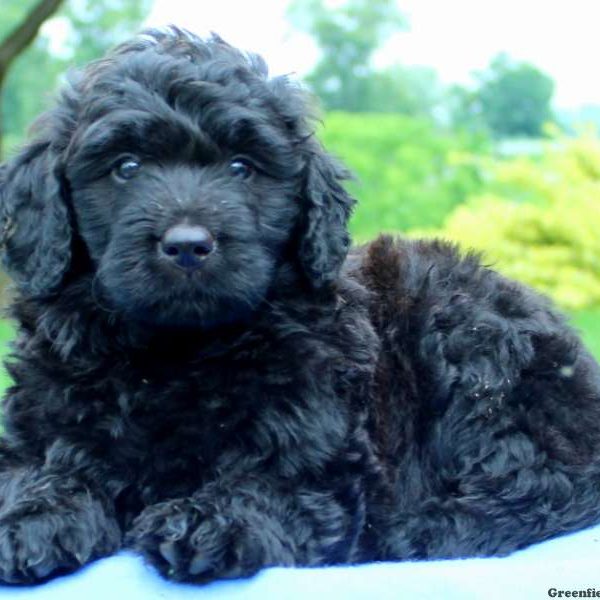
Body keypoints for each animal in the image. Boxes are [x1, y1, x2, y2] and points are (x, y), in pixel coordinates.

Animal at [1, 29, 600, 584]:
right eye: (126, 167)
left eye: (241, 168)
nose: (189, 245)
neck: (175, 350)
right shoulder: (38, 423)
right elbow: (36, 470)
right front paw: (33, 517)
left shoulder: (325, 460)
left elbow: (269, 485)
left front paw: (206, 522)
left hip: (472, 347)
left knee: (541, 484)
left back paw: (419, 528)